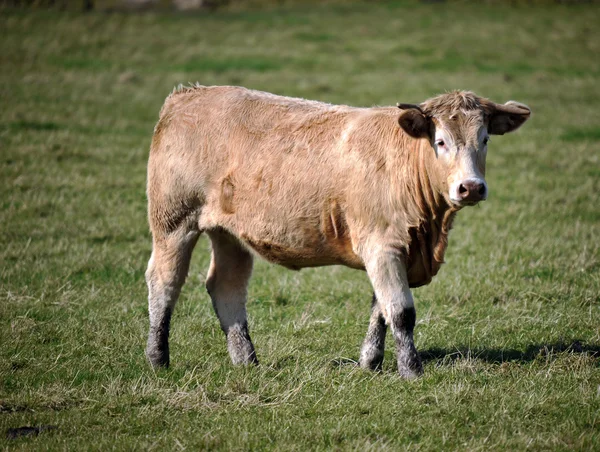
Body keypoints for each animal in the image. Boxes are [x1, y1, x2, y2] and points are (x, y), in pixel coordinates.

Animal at [145, 85, 528, 378]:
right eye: (441, 141)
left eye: (485, 139)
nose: (471, 187)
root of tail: (188, 95)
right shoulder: (382, 245)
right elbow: (400, 311)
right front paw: (411, 370)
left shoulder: (396, 250)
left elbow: (380, 308)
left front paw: (370, 362)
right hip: (173, 222)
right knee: (164, 282)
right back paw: (157, 358)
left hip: (230, 234)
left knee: (226, 286)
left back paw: (247, 360)